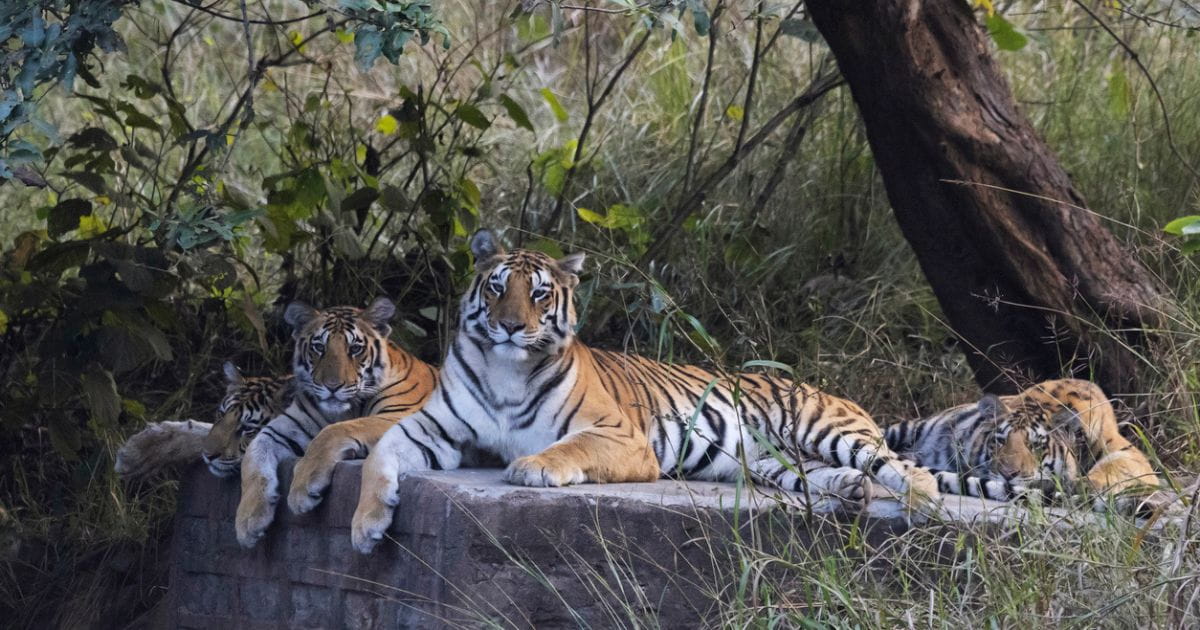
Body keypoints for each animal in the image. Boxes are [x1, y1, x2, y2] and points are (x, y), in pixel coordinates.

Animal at [234, 297, 439, 548]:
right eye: (319, 347)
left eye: (355, 349)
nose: (333, 386)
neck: (347, 409)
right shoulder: (285, 426)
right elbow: (253, 455)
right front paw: (248, 520)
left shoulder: (400, 414)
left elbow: (332, 431)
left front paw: (302, 488)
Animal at [347, 230, 1032, 553]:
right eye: (497, 287)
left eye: (539, 293)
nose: (513, 325)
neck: (505, 369)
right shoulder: (432, 428)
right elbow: (380, 455)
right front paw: (366, 527)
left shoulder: (620, 436)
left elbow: (566, 449)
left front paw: (533, 468)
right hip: (771, 462)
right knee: (825, 476)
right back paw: (851, 494)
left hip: (827, 428)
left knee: (898, 465)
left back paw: (918, 501)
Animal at [884, 379, 1160, 510]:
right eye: (1000, 442)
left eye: (1035, 446)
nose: (1008, 474)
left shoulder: (1129, 453)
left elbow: (1114, 467)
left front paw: (1085, 484)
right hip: (908, 428)